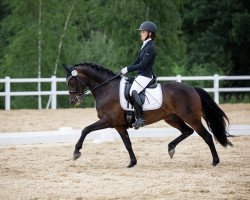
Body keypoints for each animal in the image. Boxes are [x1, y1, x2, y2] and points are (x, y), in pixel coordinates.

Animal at [62, 62, 232, 167]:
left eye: (71, 82)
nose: (72, 101)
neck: (107, 88)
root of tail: (192, 88)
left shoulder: (108, 121)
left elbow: (85, 129)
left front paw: (76, 152)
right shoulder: (118, 125)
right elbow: (127, 143)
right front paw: (132, 162)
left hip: (191, 118)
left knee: (206, 136)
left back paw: (215, 161)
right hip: (172, 118)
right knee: (187, 131)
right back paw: (171, 148)